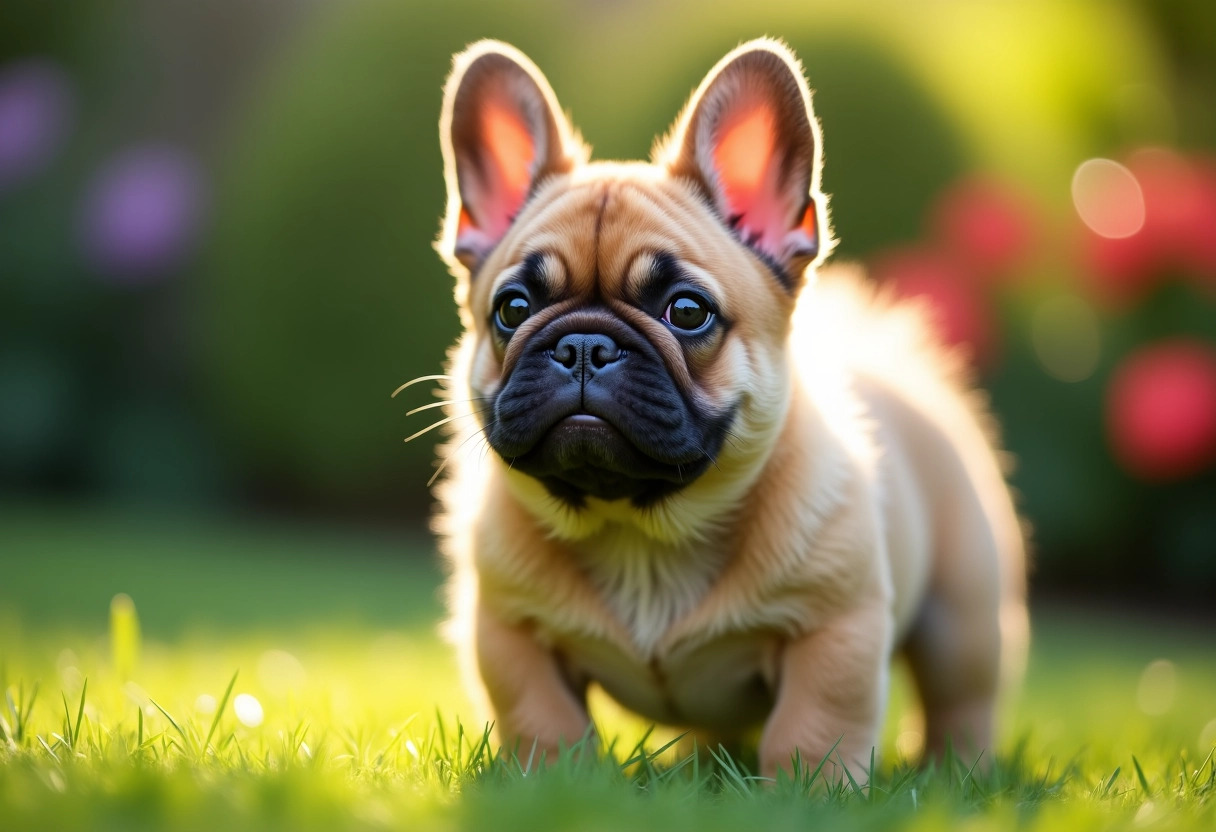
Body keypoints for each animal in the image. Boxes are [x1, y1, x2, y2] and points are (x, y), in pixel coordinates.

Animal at [428, 37, 1026, 778]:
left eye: (687, 312)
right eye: (512, 309)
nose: (584, 346)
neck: (642, 533)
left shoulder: (836, 629)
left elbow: (814, 724)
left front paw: (810, 790)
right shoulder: (511, 632)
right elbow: (543, 716)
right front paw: (548, 779)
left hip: (962, 617)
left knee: (961, 699)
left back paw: (957, 770)